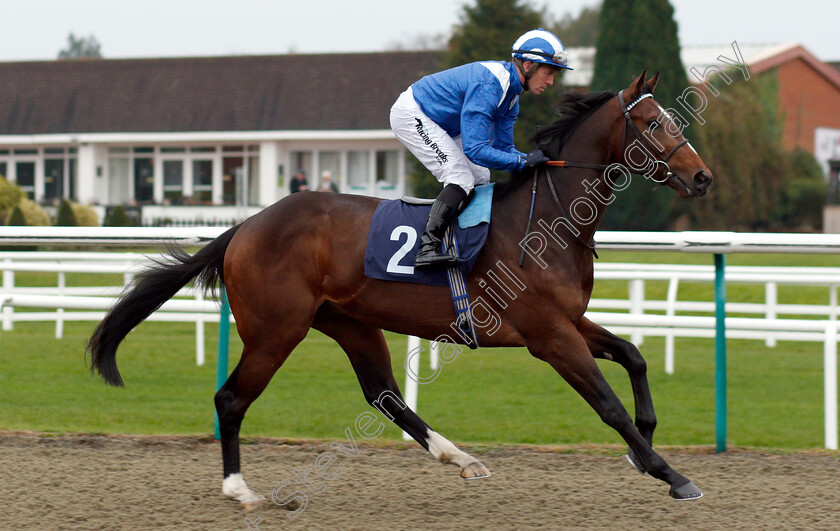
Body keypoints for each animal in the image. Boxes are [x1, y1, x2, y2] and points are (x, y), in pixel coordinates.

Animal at [88, 68, 712, 510]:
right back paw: (240, 489)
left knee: (383, 393)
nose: (703, 176)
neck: (547, 219)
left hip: (350, 322)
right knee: (231, 398)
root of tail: (244, 227)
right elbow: (608, 405)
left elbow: (633, 355)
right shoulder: (549, 336)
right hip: (275, 330)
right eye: (653, 124)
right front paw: (671, 474)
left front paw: (645, 448)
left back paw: (459, 457)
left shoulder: (569, 320)